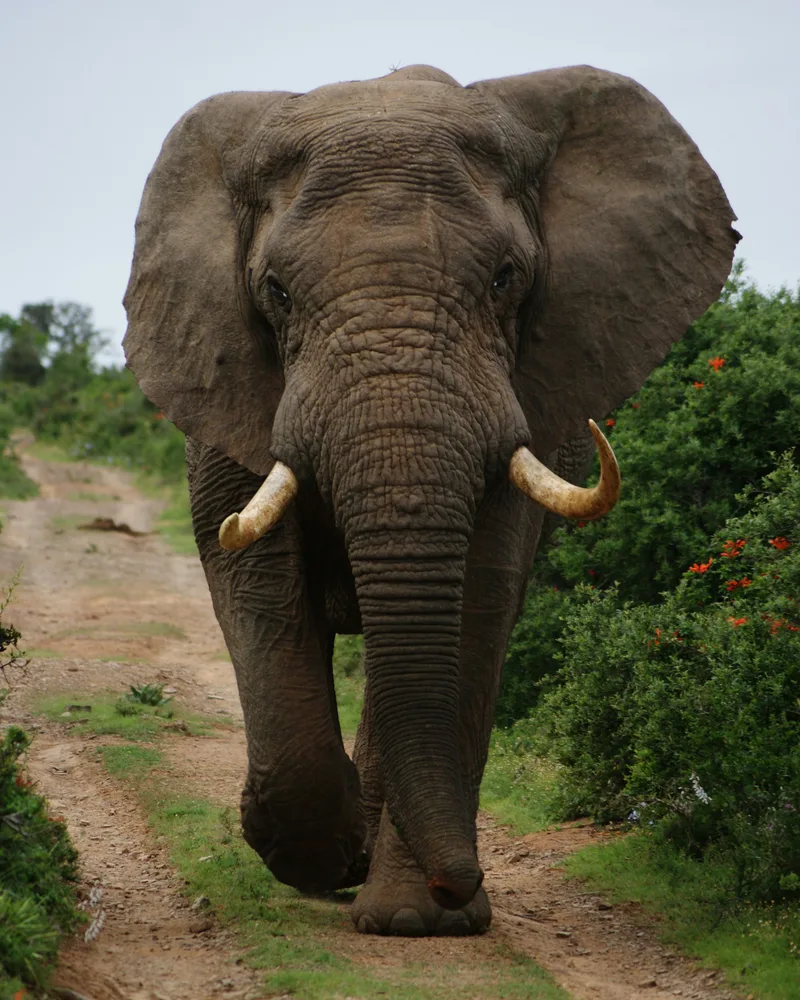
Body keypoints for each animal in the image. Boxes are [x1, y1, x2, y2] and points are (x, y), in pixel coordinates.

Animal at [123, 64, 738, 937]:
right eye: (275, 292)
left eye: (506, 279)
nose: (461, 880)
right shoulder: (224, 379)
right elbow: (253, 577)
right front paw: (322, 855)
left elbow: (478, 595)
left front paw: (419, 920)